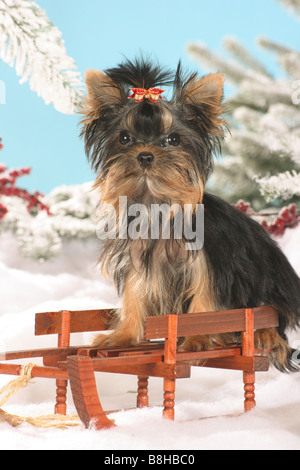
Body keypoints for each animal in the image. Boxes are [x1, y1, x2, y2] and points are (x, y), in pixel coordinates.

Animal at [79, 57, 300, 370]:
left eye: (173, 139)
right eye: (125, 138)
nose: (145, 155)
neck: (156, 203)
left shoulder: (207, 264)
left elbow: (204, 301)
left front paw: (197, 339)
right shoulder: (137, 259)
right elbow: (135, 294)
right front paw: (123, 335)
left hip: (268, 276)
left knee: (269, 313)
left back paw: (266, 334)